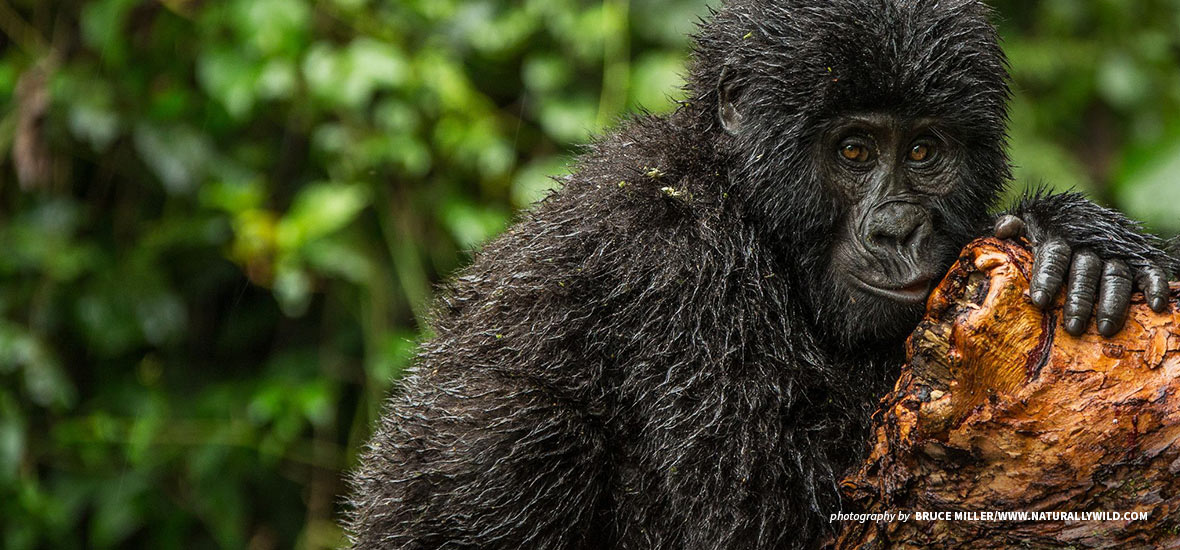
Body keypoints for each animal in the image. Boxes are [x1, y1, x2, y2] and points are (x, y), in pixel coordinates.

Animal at [345, 1, 1178, 548]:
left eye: (924, 151)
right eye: (853, 151)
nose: (898, 230)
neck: (741, 190)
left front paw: (1085, 241)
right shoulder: (677, 266)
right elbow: (766, 512)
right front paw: (1061, 231)